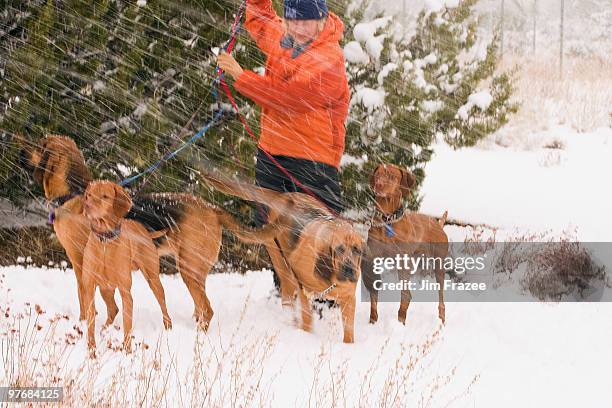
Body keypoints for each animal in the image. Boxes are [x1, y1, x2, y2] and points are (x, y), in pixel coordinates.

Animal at [19, 135, 247, 330]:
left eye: (41, 145)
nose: (20, 152)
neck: (72, 194)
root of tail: (212, 208)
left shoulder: (79, 260)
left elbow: (83, 296)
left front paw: (83, 323)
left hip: (188, 267)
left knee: (207, 309)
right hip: (193, 271)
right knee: (200, 307)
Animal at [82, 180, 172, 352]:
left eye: (105, 196)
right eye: (88, 195)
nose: (87, 206)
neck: (105, 241)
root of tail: (145, 231)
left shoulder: (126, 292)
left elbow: (127, 325)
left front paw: (127, 351)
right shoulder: (89, 288)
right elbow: (90, 322)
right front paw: (91, 350)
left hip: (153, 278)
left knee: (162, 302)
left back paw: (169, 327)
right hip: (106, 288)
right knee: (113, 309)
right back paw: (104, 331)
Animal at [202, 172, 364, 344]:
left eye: (357, 250)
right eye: (339, 249)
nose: (350, 271)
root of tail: (285, 197)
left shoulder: (349, 300)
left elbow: (348, 332)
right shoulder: (304, 291)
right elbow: (307, 321)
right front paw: (305, 336)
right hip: (284, 268)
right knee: (287, 298)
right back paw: (290, 323)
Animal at [360, 163, 448, 326]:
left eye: (392, 176)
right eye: (378, 174)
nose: (378, 185)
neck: (388, 219)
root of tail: (437, 223)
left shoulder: (402, 262)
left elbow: (405, 296)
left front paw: (400, 323)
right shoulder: (374, 259)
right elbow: (374, 295)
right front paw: (372, 321)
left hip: (438, 265)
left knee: (440, 297)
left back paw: (441, 320)